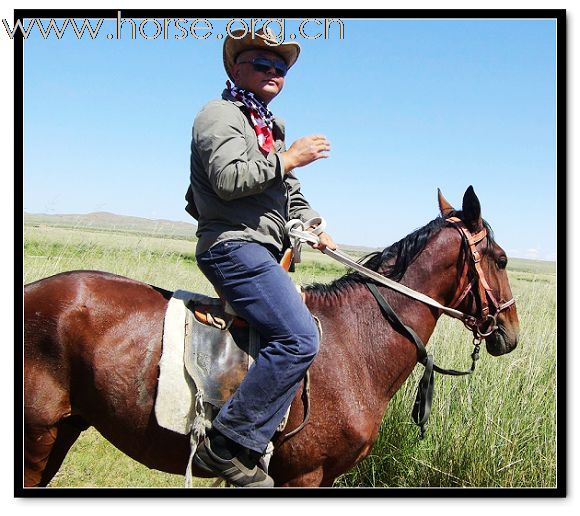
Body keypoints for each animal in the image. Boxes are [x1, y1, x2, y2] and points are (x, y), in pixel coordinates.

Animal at [23, 188, 520, 488]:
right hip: (37, 437)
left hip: (64, 429)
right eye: (501, 258)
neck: (355, 345)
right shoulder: (304, 475)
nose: (511, 333)